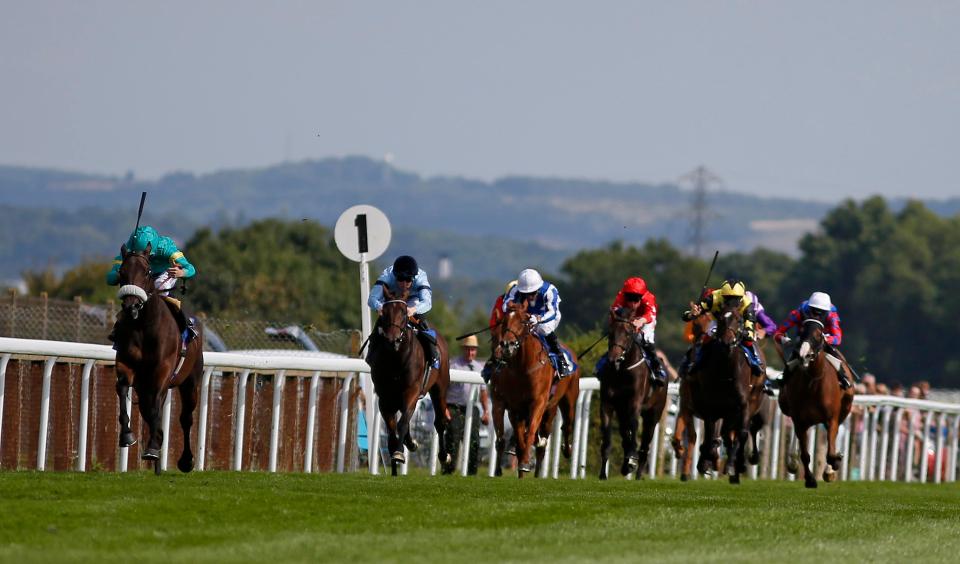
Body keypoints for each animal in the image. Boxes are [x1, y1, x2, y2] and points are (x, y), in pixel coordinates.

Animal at [112, 243, 202, 476]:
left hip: (190, 382)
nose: (132, 307)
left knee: (185, 418)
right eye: (121, 272)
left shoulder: (162, 369)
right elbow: (122, 388)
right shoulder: (125, 363)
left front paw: (153, 447)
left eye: (147, 272)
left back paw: (185, 460)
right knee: (147, 407)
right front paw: (127, 435)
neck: (143, 325)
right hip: (143, 385)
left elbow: (156, 409)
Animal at [370, 288, 456, 478]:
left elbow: (401, 424)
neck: (396, 360)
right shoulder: (384, 398)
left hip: (439, 388)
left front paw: (398, 454)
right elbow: (392, 430)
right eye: (384, 312)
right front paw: (395, 463)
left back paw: (444, 456)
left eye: (403, 312)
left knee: (440, 421)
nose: (392, 340)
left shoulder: (411, 391)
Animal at [488, 302, 576, 478]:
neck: (523, 367)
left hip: (564, 402)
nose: (506, 346)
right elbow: (515, 438)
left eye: (523, 321)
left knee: (566, 426)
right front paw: (516, 465)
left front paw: (524, 464)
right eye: (504, 322)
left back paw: (566, 450)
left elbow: (529, 434)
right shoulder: (510, 406)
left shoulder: (538, 402)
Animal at [600, 310, 668, 478]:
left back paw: (637, 474)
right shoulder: (608, 403)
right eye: (610, 333)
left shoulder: (634, 403)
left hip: (653, 414)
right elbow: (608, 437)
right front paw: (603, 474)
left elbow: (634, 425)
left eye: (628, 333)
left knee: (645, 447)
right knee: (625, 434)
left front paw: (631, 458)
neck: (622, 371)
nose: (613, 360)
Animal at [776, 320, 860, 486]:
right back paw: (792, 461)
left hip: (845, 407)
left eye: (818, 335)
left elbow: (831, 452)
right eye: (801, 332)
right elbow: (805, 454)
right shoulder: (799, 419)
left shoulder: (832, 418)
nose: (804, 355)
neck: (813, 382)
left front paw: (834, 463)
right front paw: (810, 479)